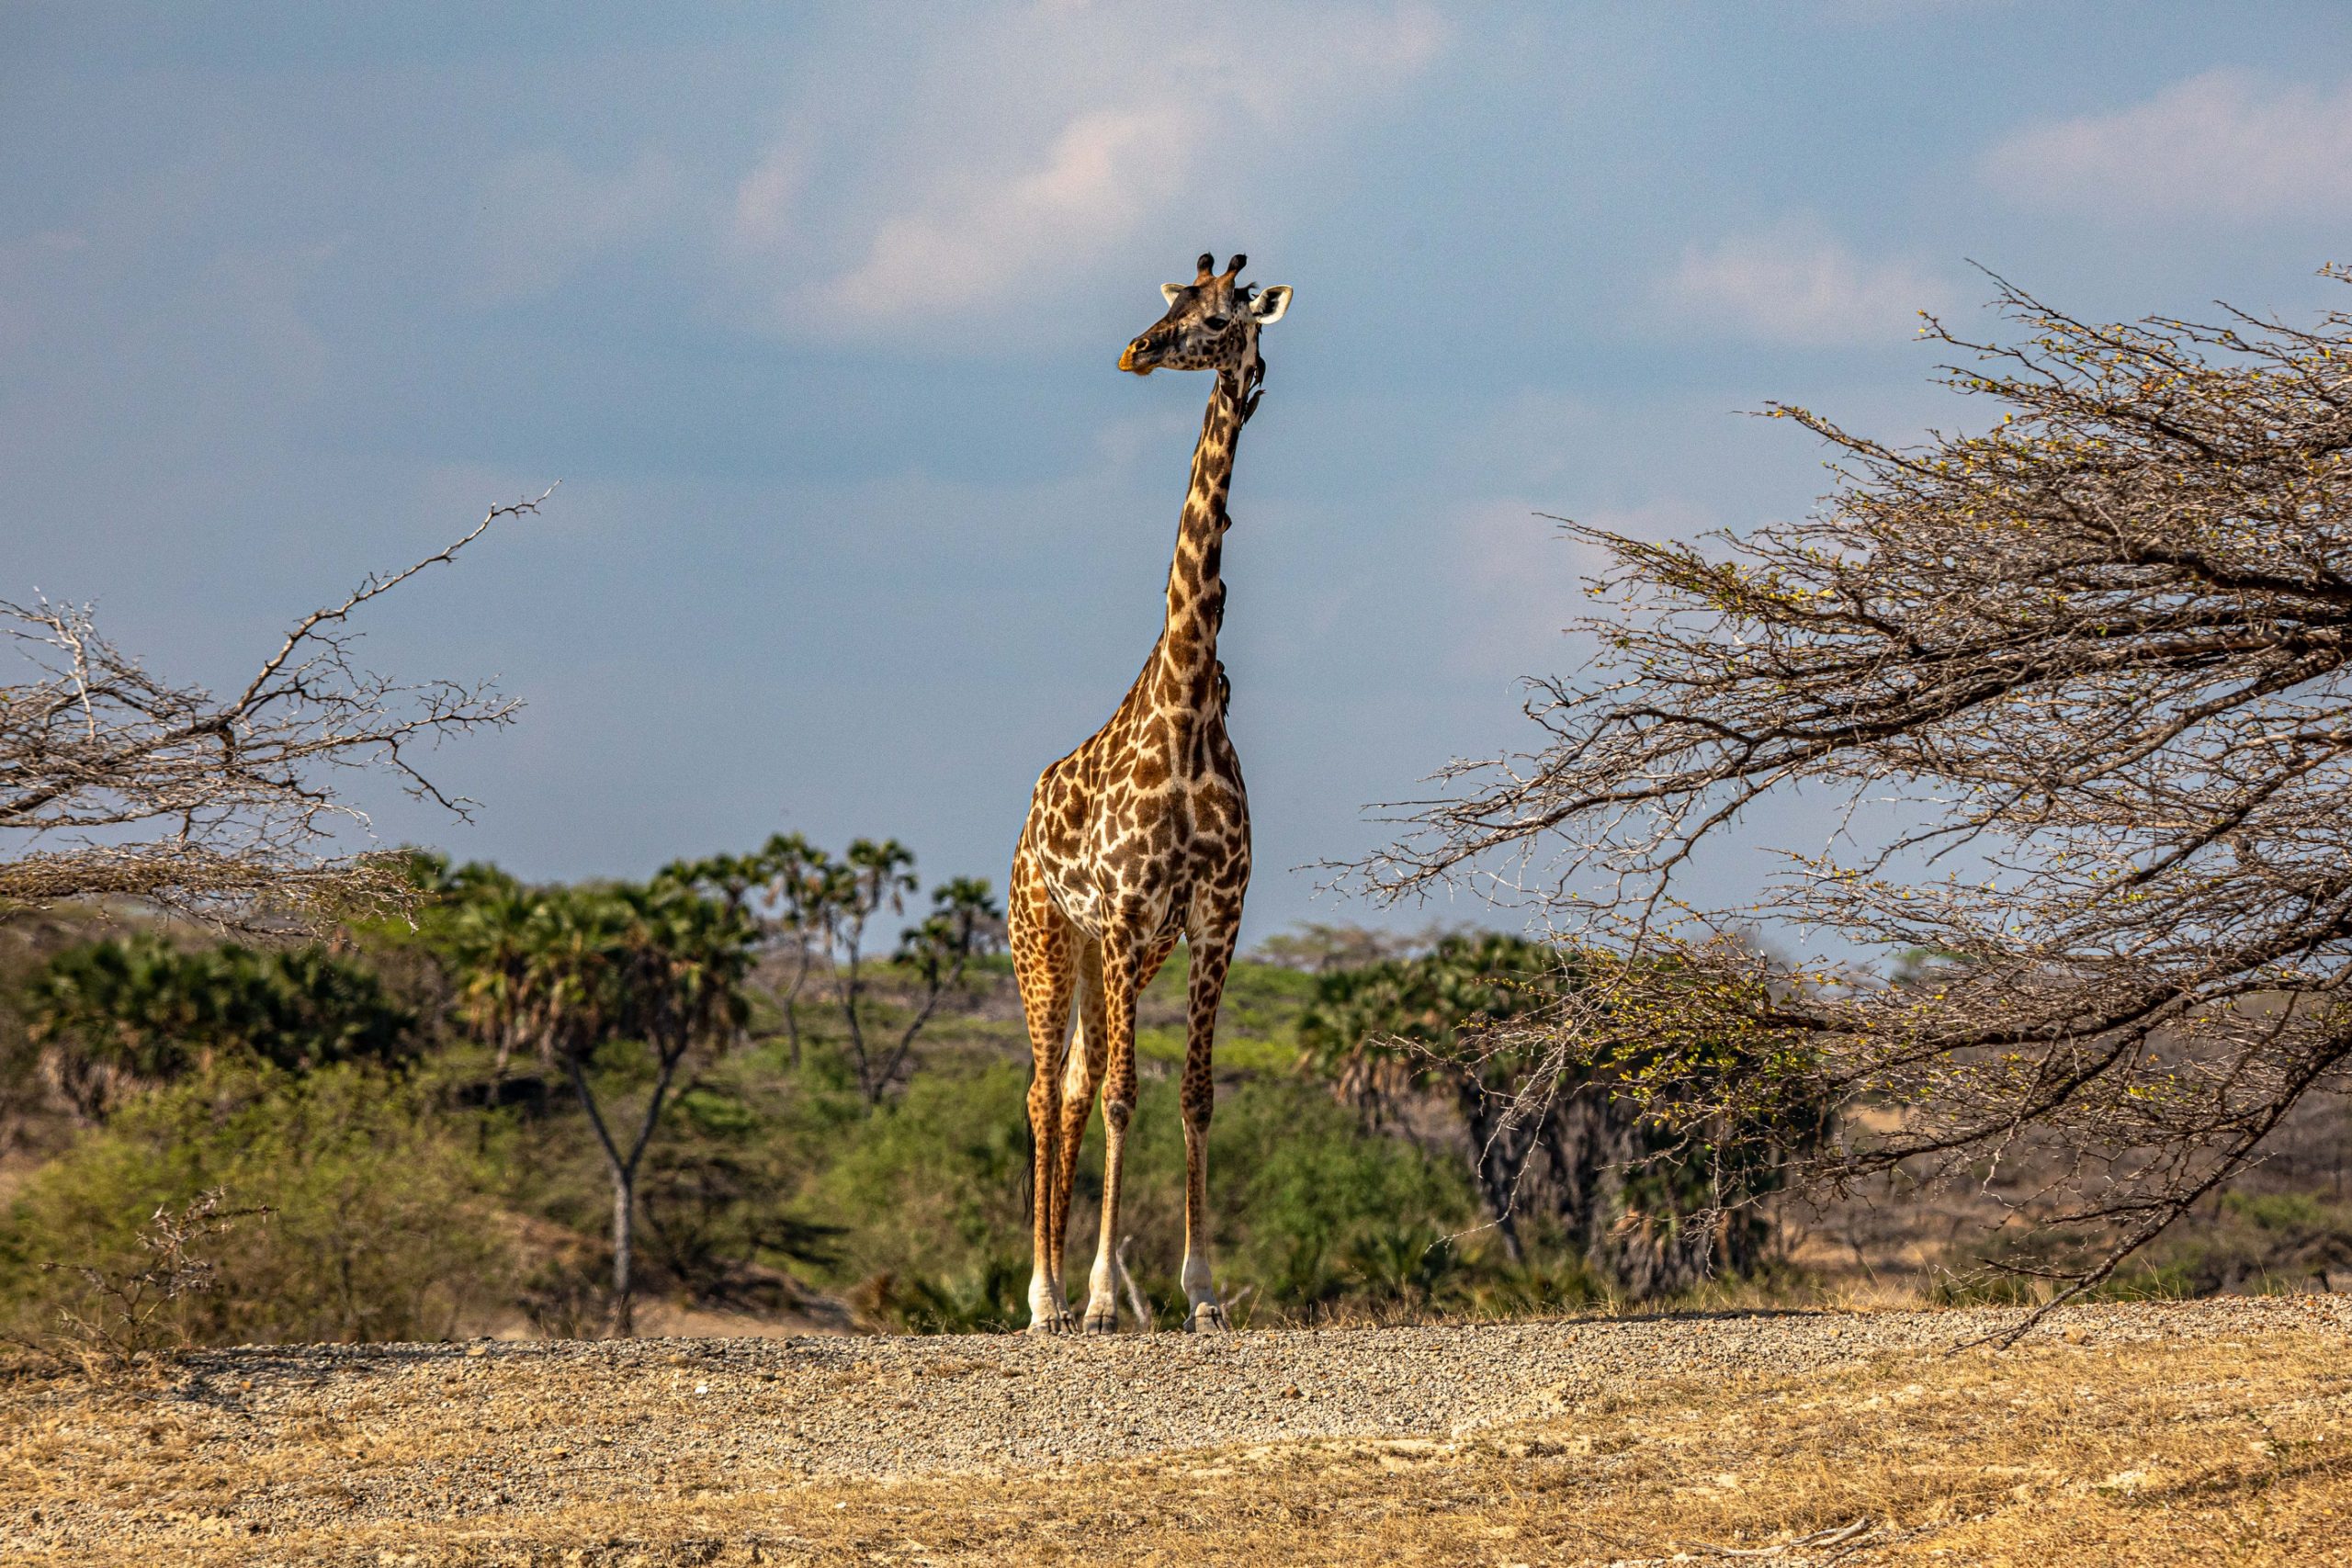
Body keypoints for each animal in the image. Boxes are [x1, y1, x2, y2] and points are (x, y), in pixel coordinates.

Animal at [1010, 251, 1294, 1335]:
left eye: (1218, 317)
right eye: (1173, 299)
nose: (1135, 351)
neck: (1187, 704)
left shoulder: (1211, 919)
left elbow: (1192, 1095)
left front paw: (1202, 1293)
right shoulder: (1131, 915)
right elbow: (1128, 1096)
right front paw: (1099, 1299)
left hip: (1103, 955)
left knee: (1072, 1084)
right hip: (1048, 934)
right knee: (1045, 1089)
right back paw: (1044, 1299)